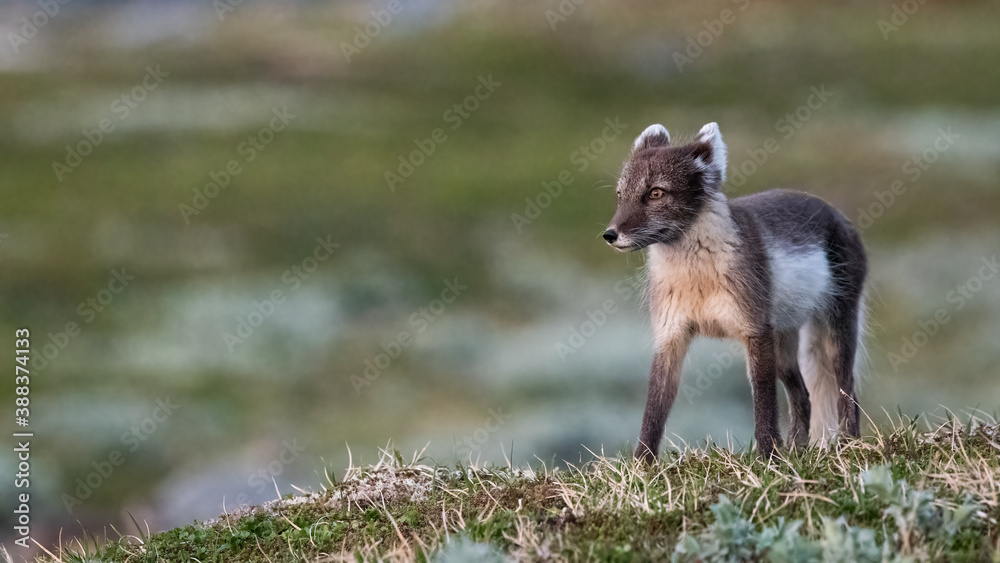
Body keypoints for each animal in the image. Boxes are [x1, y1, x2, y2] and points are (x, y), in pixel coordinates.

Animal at [603, 122, 867, 461]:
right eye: (620, 195)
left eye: (656, 193)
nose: (610, 235)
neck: (697, 279)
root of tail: (837, 214)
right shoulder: (670, 335)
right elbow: (654, 410)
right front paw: (642, 464)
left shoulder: (755, 331)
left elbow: (764, 404)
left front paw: (768, 456)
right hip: (784, 344)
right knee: (803, 395)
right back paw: (798, 449)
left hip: (836, 327)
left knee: (847, 390)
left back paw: (848, 445)